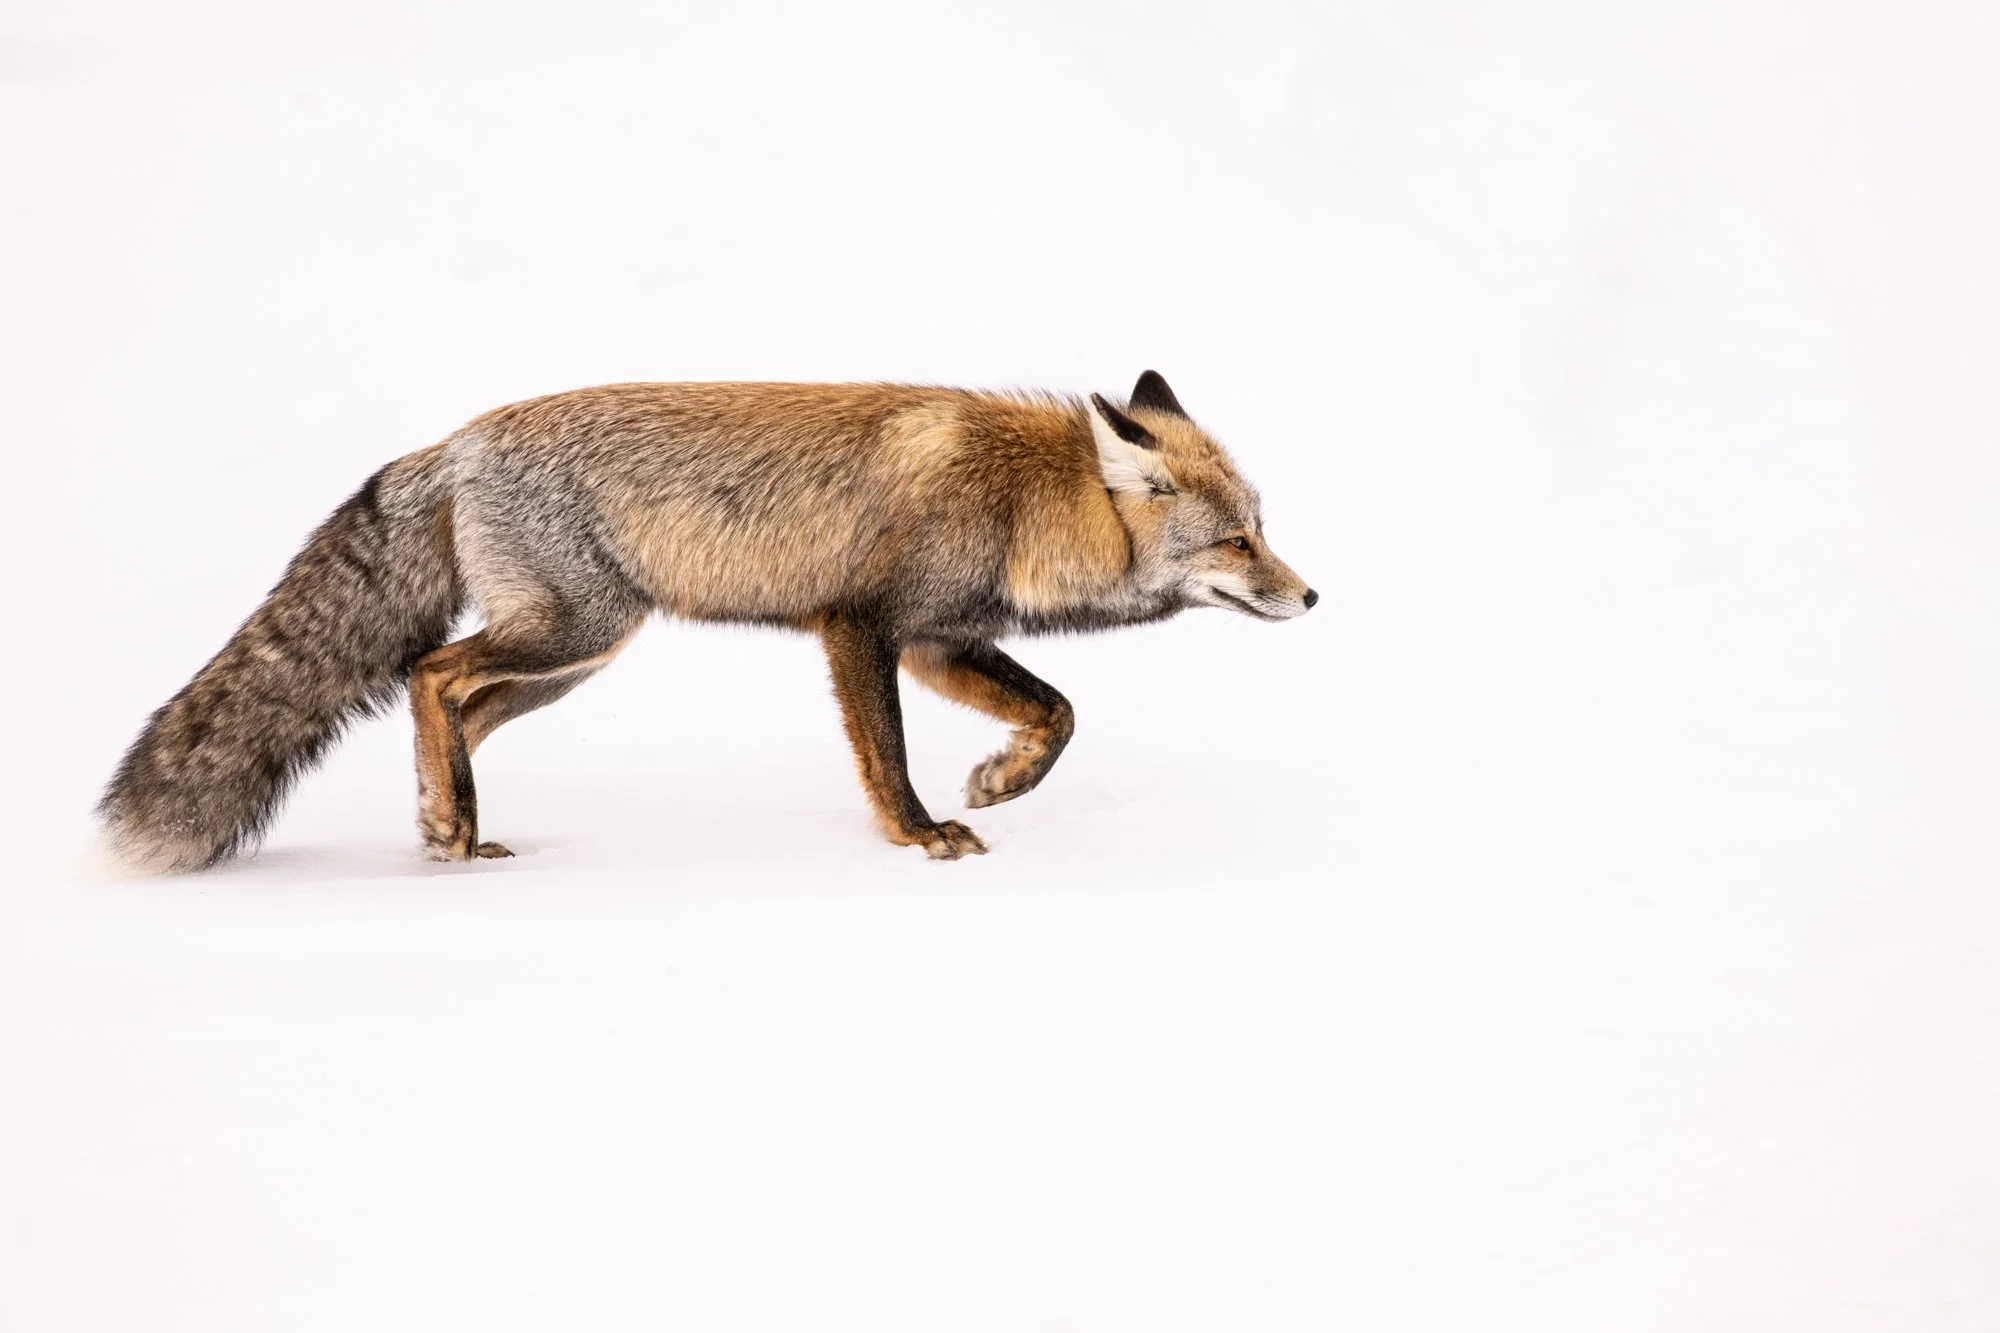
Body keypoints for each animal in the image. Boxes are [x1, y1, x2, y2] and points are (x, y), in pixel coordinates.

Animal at [99, 371, 1315, 872]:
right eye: (1236, 542)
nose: (1310, 596)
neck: (1020, 497)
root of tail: (457, 439)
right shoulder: (860, 626)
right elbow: (889, 759)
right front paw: (921, 832)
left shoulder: (935, 638)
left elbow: (1057, 714)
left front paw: (1000, 781)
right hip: (573, 631)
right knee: (433, 673)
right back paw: (450, 828)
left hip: (573, 656)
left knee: (451, 705)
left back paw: (451, 825)